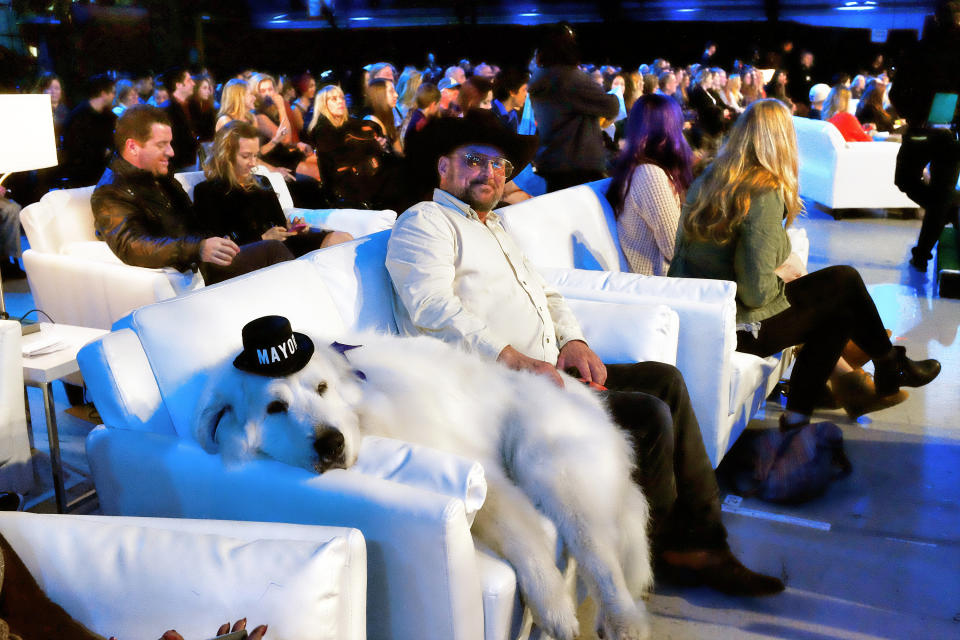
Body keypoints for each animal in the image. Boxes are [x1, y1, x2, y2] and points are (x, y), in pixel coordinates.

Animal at [195, 332, 652, 636]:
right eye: (275, 407)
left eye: (321, 388)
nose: (331, 443)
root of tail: (584, 393)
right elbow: (523, 538)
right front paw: (555, 605)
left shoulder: (489, 478)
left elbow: (525, 541)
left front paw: (555, 609)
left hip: (548, 462)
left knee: (599, 557)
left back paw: (624, 623)